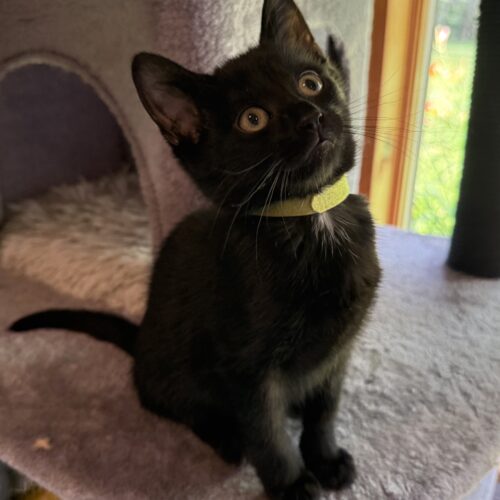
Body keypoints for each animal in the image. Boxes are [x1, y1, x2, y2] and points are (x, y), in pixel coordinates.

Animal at [10, 0, 381, 498]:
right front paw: (291, 484)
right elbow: (267, 434)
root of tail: (140, 341)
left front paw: (324, 459)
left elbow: (325, 409)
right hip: (173, 375)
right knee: (176, 406)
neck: (312, 218)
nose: (310, 115)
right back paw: (225, 438)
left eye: (310, 82)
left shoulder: (337, 353)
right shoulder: (247, 370)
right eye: (252, 119)